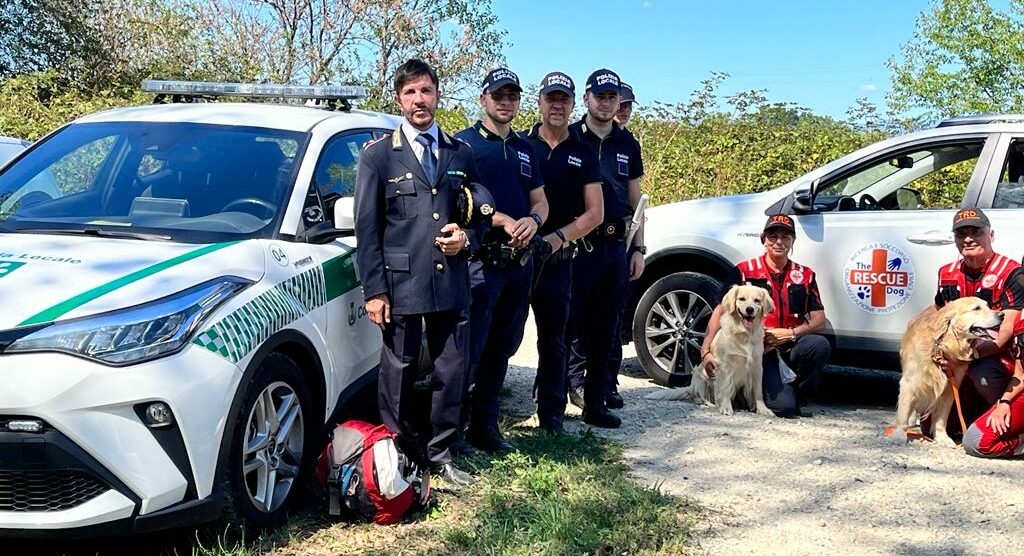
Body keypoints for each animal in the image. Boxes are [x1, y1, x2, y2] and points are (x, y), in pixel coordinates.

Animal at [647, 282, 774, 417]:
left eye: (757, 301)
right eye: (742, 299)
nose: (750, 309)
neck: (744, 333)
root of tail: (691, 386)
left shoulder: (756, 366)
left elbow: (758, 391)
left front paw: (763, 409)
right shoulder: (724, 366)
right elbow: (725, 388)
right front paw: (726, 407)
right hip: (700, 375)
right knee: (697, 395)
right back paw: (707, 403)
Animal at [892, 294, 1003, 448]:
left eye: (989, 306)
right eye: (976, 308)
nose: (1002, 315)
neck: (944, 347)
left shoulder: (950, 387)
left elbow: (941, 417)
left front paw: (942, 438)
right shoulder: (909, 382)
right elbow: (903, 410)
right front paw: (899, 434)